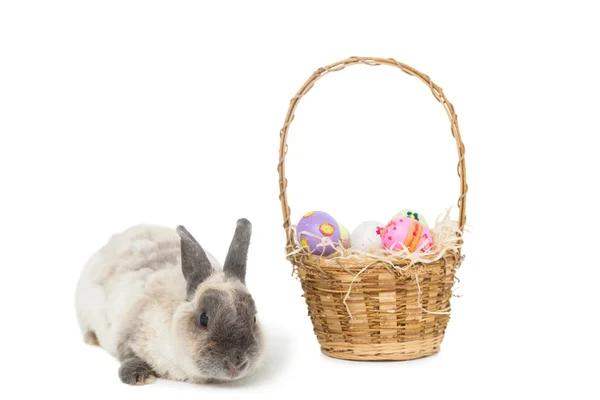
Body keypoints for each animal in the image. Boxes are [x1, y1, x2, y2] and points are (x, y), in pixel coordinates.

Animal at [74, 219, 264, 384]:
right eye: (204, 318)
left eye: (254, 319)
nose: (237, 362)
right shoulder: (127, 331)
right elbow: (128, 355)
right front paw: (140, 378)